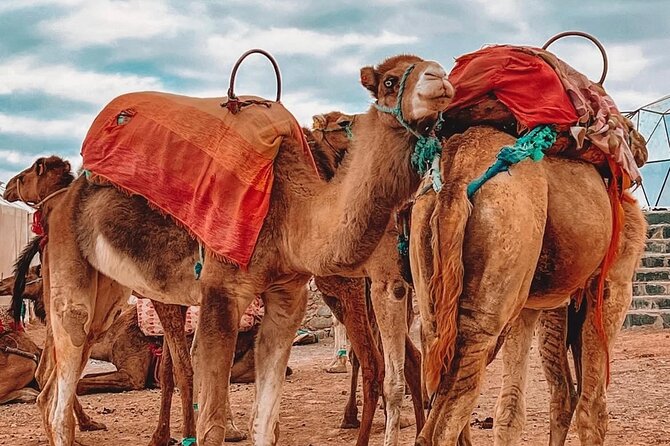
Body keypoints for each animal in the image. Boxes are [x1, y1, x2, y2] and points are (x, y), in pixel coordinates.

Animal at [12, 54, 453, 446]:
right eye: (390, 81)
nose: (441, 78)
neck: (290, 210)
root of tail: (61, 203)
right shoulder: (219, 293)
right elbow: (210, 422)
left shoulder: (287, 294)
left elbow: (264, 420)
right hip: (70, 281)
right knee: (57, 392)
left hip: (109, 295)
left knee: (53, 389)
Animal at [409, 125, 646, 445]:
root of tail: (457, 176)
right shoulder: (612, 283)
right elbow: (592, 408)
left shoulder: (535, 303)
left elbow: (516, 408)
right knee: (457, 396)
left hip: (432, 276)